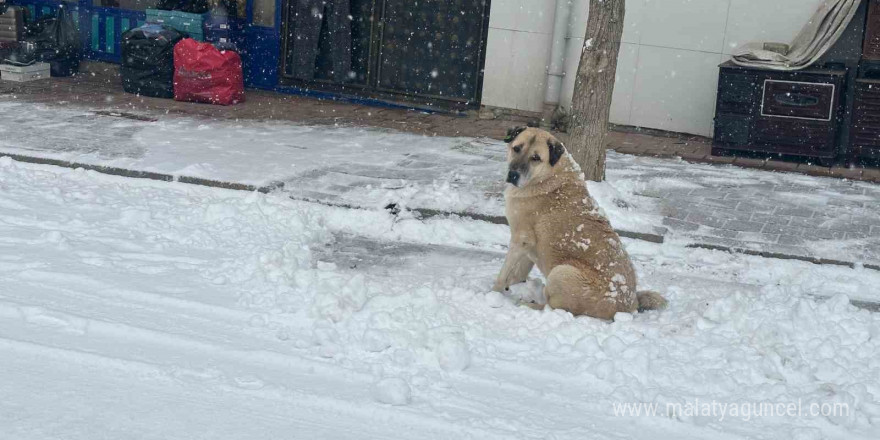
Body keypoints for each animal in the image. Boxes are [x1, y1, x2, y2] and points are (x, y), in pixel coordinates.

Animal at [496, 126, 668, 320]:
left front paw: (493, 291)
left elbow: (503, 273)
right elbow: (517, 273)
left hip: (561, 272)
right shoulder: (529, 246)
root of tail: (629, 307)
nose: (513, 175)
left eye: (536, 158)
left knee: (554, 309)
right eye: (516, 148)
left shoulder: (521, 238)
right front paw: (511, 285)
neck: (548, 175)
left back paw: (528, 305)